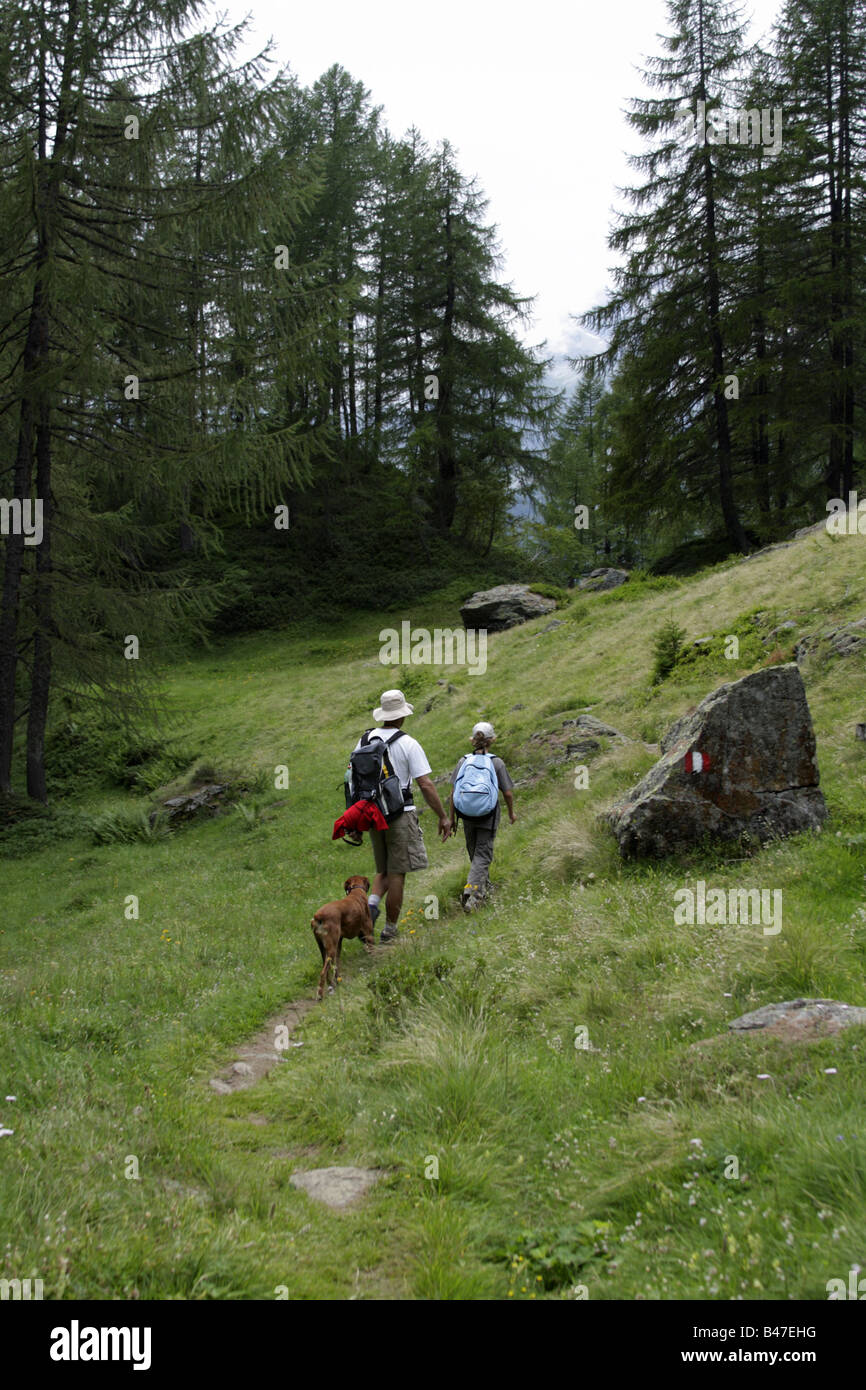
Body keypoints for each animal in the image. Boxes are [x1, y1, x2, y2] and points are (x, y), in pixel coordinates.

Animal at [311, 872, 372, 1006]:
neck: (356, 891)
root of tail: (318, 916)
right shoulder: (368, 933)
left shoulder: (339, 944)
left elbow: (337, 965)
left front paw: (338, 980)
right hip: (331, 949)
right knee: (323, 972)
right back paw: (320, 994)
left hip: (325, 949)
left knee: (327, 969)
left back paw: (331, 985)